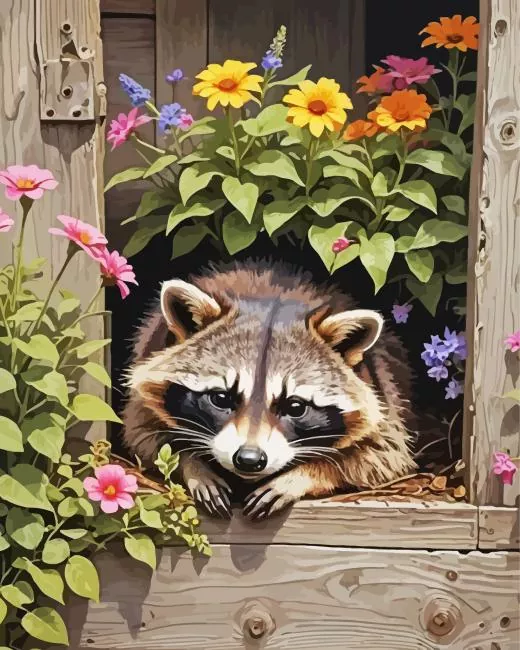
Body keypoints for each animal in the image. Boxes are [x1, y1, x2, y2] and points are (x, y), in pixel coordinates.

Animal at [122, 260, 417, 520]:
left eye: (295, 406)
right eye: (221, 398)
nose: (249, 459)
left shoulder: (387, 407)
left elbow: (379, 457)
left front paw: (302, 475)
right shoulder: (141, 397)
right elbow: (145, 438)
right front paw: (194, 466)